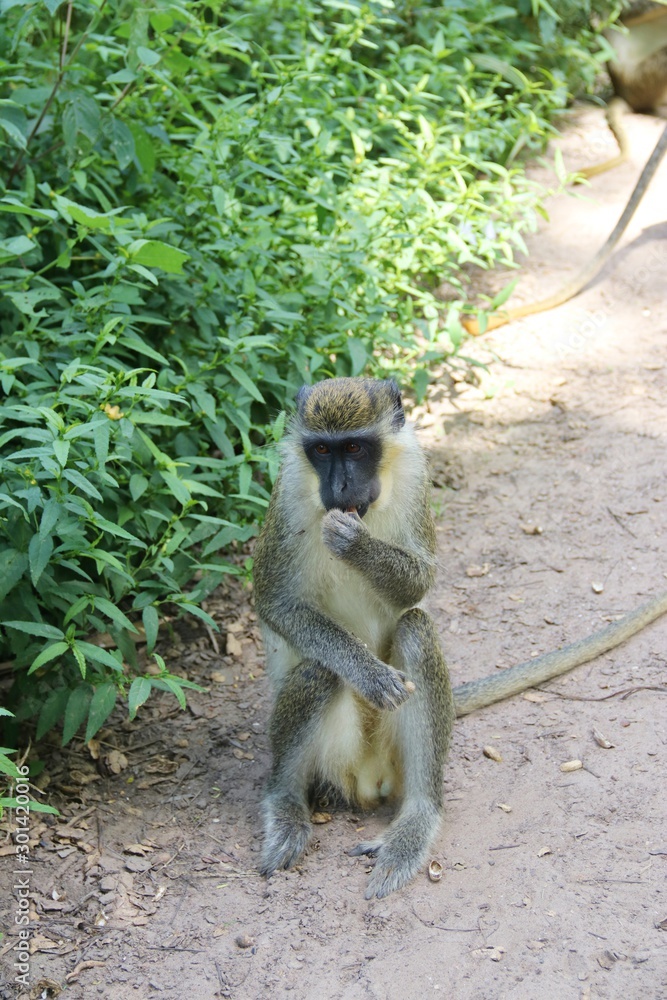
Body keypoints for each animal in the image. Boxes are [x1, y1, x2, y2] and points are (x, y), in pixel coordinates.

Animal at [253, 376, 667, 898]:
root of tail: (365, 779)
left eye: (355, 448)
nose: (340, 487)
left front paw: (355, 544)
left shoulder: (415, 475)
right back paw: (287, 806)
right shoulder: (288, 491)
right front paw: (369, 674)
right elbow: (275, 602)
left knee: (416, 629)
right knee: (317, 671)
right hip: (334, 760)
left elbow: (419, 583)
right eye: (322, 450)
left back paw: (417, 821)